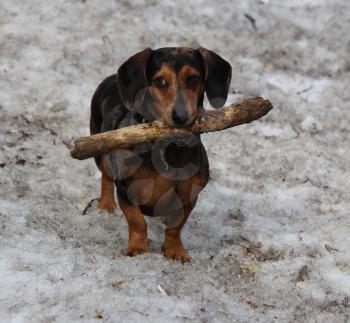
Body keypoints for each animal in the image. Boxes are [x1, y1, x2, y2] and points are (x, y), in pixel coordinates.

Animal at [90, 47, 232, 264]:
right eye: (160, 81)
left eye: (193, 78)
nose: (180, 116)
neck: (169, 150)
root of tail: (111, 79)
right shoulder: (125, 190)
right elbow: (137, 221)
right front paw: (137, 248)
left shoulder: (188, 197)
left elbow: (175, 226)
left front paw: (175, 251)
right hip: (101, 151)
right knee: (106, 178)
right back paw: (105, 207)